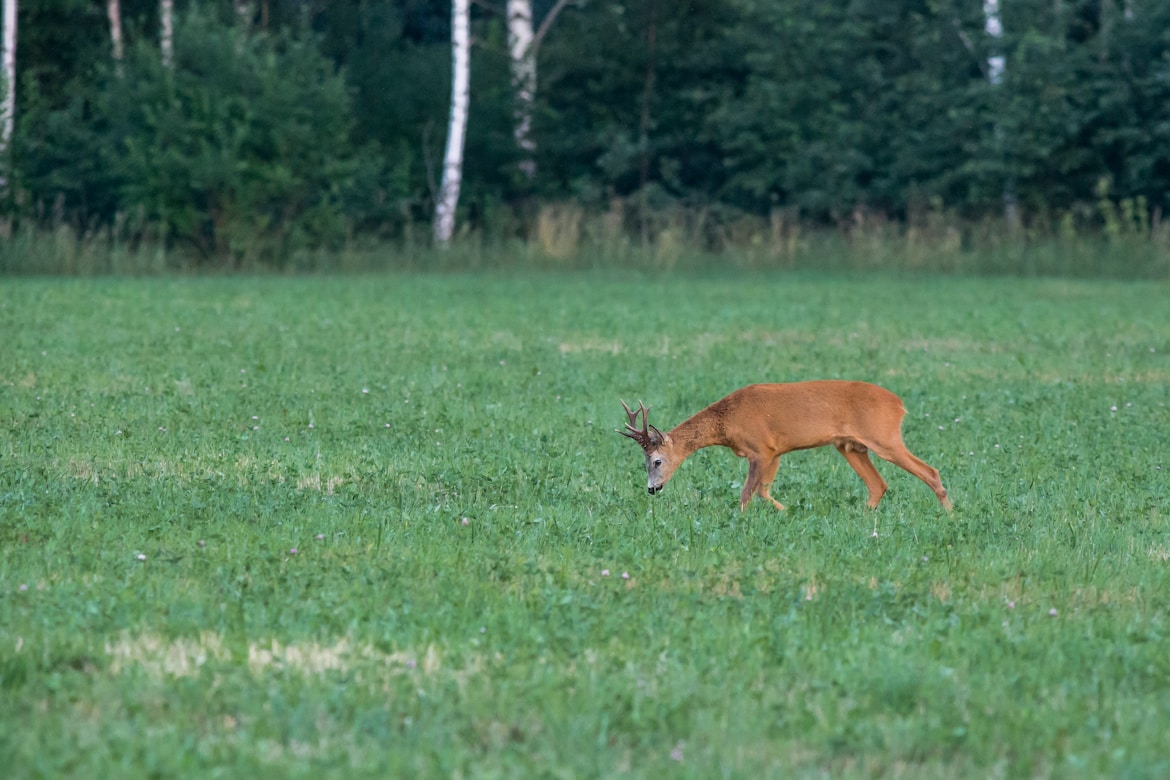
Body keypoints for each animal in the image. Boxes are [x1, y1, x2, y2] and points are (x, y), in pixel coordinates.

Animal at [617, 383, 954, 512]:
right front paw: (787, 512)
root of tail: (898, 404)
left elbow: (747, 493)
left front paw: (740, 520)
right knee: (878, 485)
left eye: (656, 460)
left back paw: (949, 514)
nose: (652, 489)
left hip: (884, 437)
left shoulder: (760, 449)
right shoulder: (775, 452)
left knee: (930, 471)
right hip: (850, 447)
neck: (727, 421)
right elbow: (764, 491)